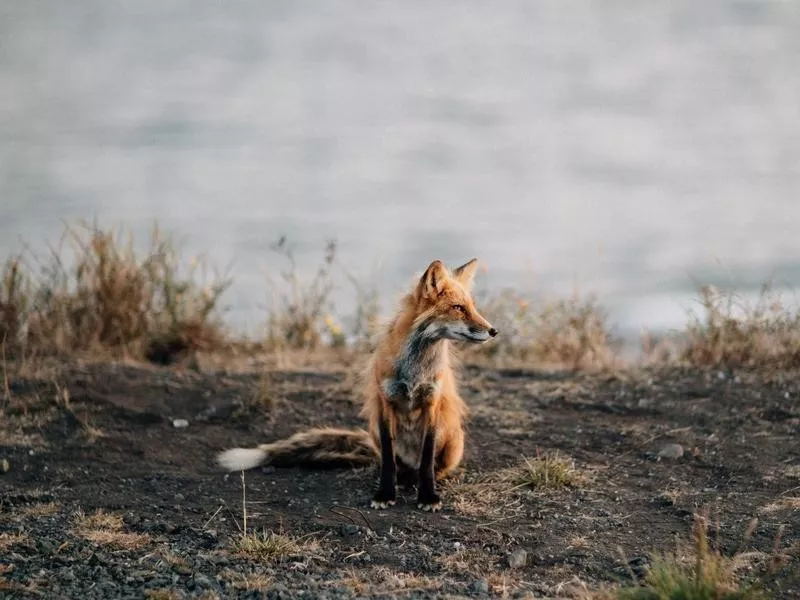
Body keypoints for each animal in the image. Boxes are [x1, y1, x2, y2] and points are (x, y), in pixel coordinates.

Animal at [216, 258, 496, 510]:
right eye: (458, 308)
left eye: (472, 307)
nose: (494, 331)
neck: (414, 370)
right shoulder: (385, 401)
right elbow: (388, 460)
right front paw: (385, 493)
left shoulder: (431, 401)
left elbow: (427, 460)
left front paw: (428, 496)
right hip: (373, 431)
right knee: (394, 463)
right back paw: (403, 479)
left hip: (453, 441)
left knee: (432, 467)